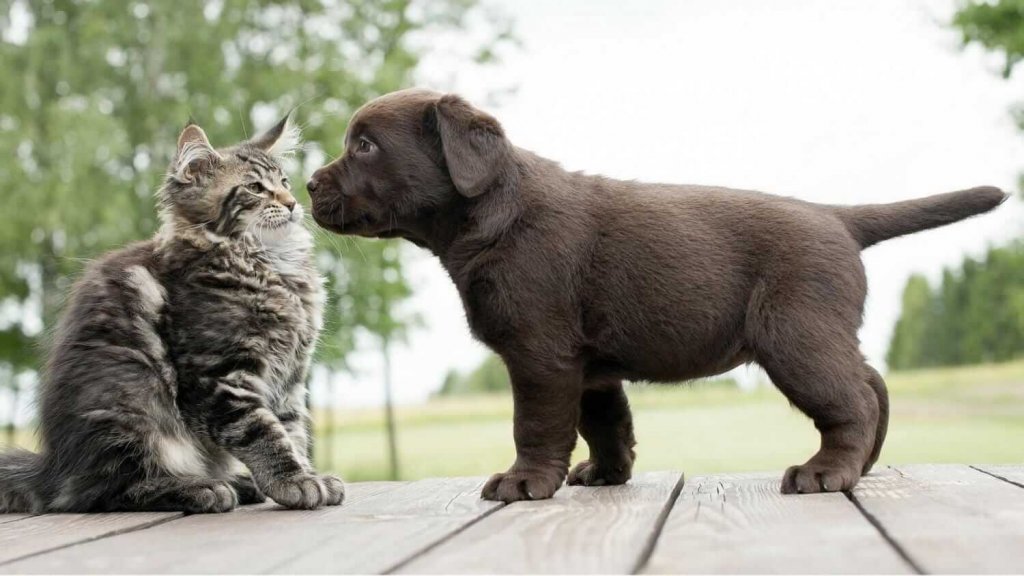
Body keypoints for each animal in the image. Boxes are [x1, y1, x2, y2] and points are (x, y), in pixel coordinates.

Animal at [0, 114, 344, 508]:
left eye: (284, 182)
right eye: (255, 188)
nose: (291, 203)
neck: (269, 264)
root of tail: (54, 469)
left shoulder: (290, 377)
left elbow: (292, 429)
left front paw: (307, 473)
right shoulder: (221, 376)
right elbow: (262, 431)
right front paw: (293, 481)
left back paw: (238, 482)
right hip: (132, 398)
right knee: (109, 490)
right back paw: (199, 488)